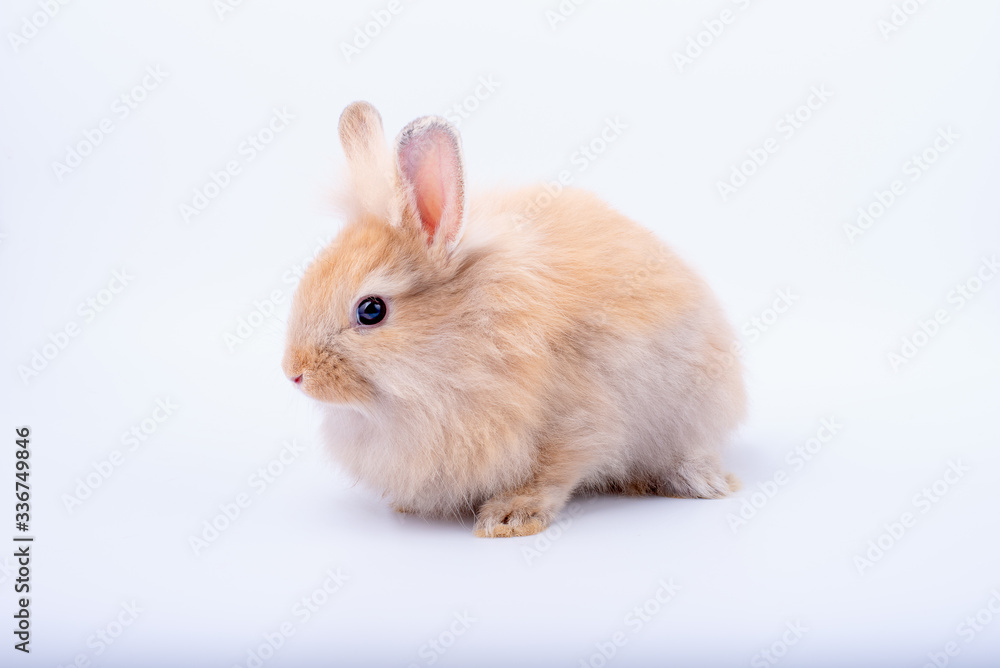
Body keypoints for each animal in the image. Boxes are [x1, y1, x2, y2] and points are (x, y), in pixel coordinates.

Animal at [282, 101, 746, 538]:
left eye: (371, 310)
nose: (294, 374)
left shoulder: (577, 424)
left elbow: (550, 475)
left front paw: (508, 519)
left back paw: (702, 482)